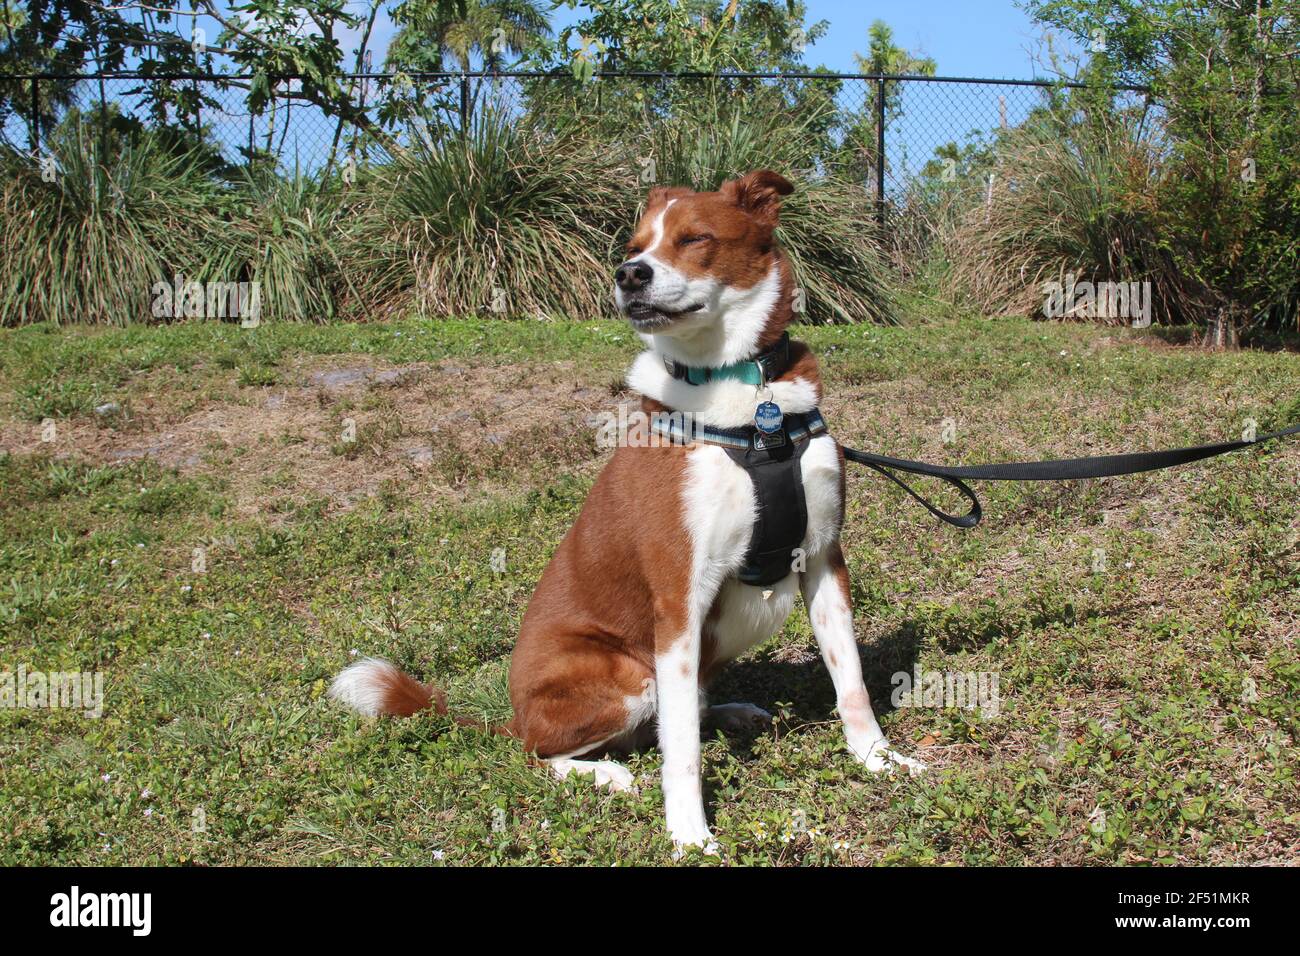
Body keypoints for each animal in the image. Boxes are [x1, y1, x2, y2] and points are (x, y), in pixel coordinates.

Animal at [335, 167, 925, 848]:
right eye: (635, 245)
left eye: (694, 238)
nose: (628, 274)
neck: (749, 404)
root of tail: (509, 717)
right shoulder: (679, 592)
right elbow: (683, 752)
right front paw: (690, 836)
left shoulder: (824, 561)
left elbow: (850, 683)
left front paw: (879, 761)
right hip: (622, 673)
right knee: (546, 750)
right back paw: (605, 773)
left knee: (673, 717)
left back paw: (731, 712)